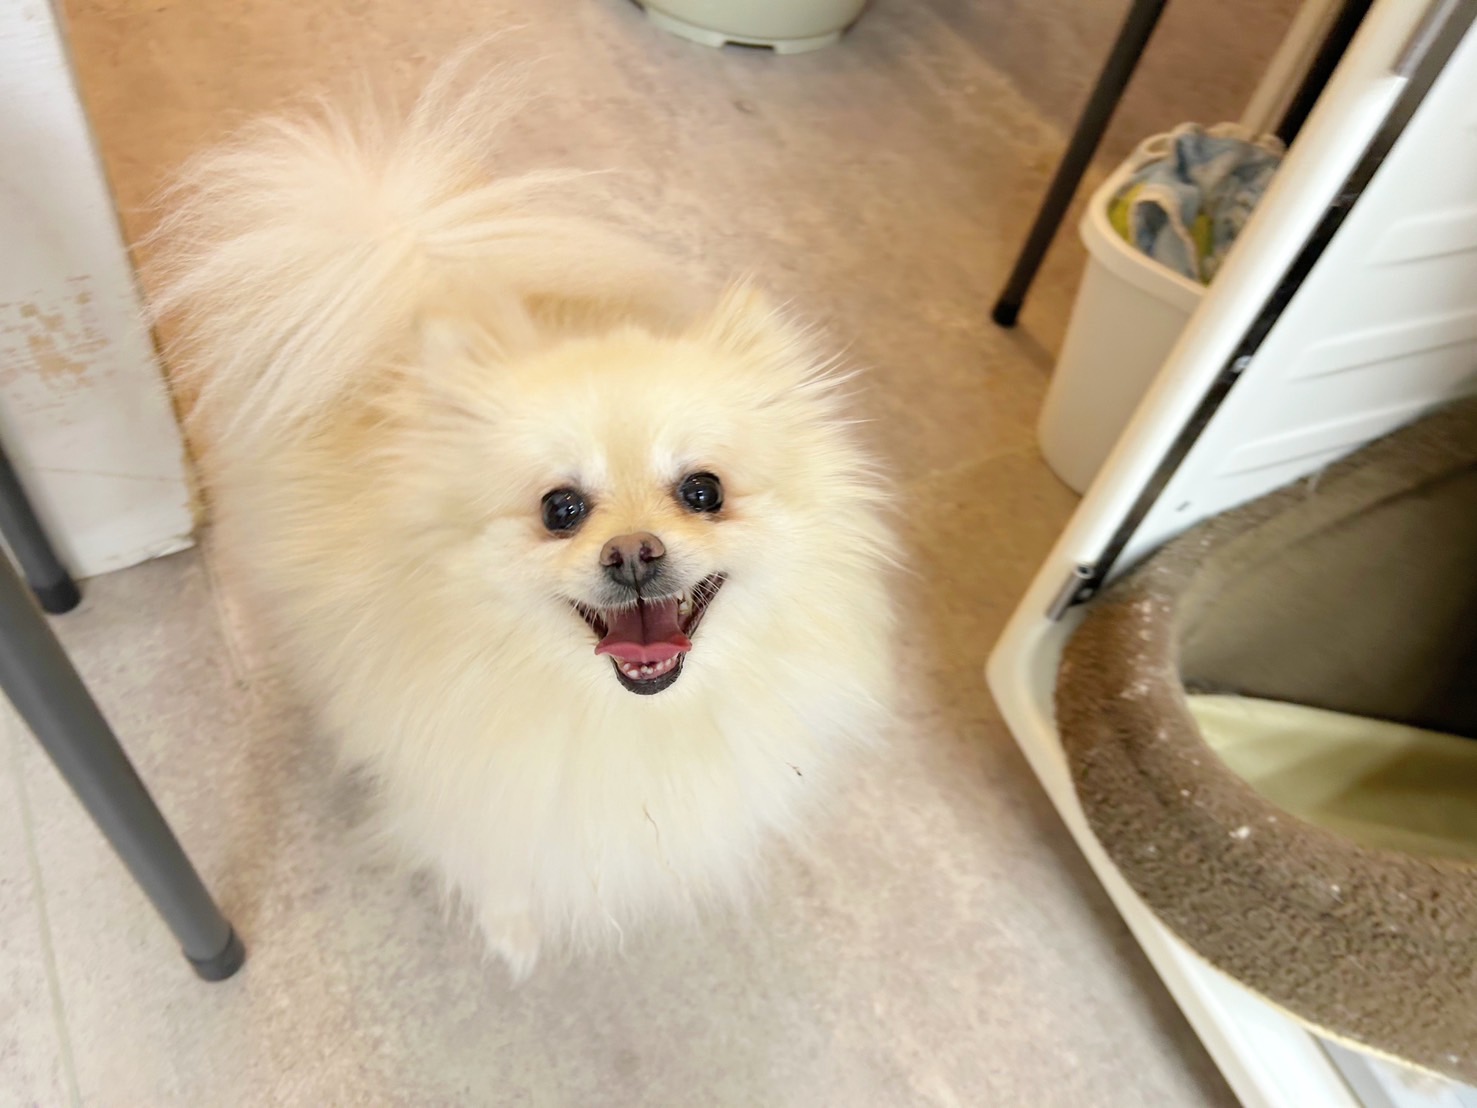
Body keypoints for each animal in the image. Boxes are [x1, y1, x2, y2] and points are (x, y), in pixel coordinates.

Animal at [152, 55, 895, 981]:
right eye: (560, 509)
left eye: (702, 491)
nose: (634, 552)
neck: (624, 717)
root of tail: (411, 257)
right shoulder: (476, 781)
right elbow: (497, 860)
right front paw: (513, 937)